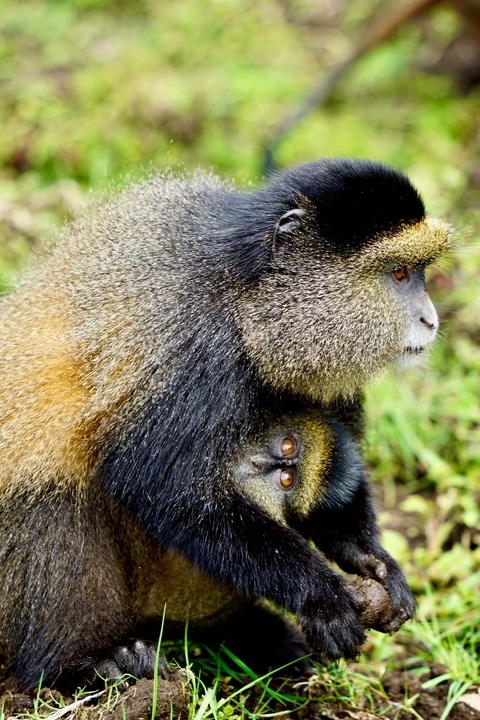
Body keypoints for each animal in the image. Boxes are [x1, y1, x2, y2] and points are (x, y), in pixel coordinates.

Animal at [0, 158, 451, 690]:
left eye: (420, 274)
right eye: (399, 274)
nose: (430, 320)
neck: (246, 298)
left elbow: (341, 472)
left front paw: (373, 562)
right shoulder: (200, 350)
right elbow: (167, 490)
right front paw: (319, 595)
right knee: (54, 500)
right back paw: (91, 658)